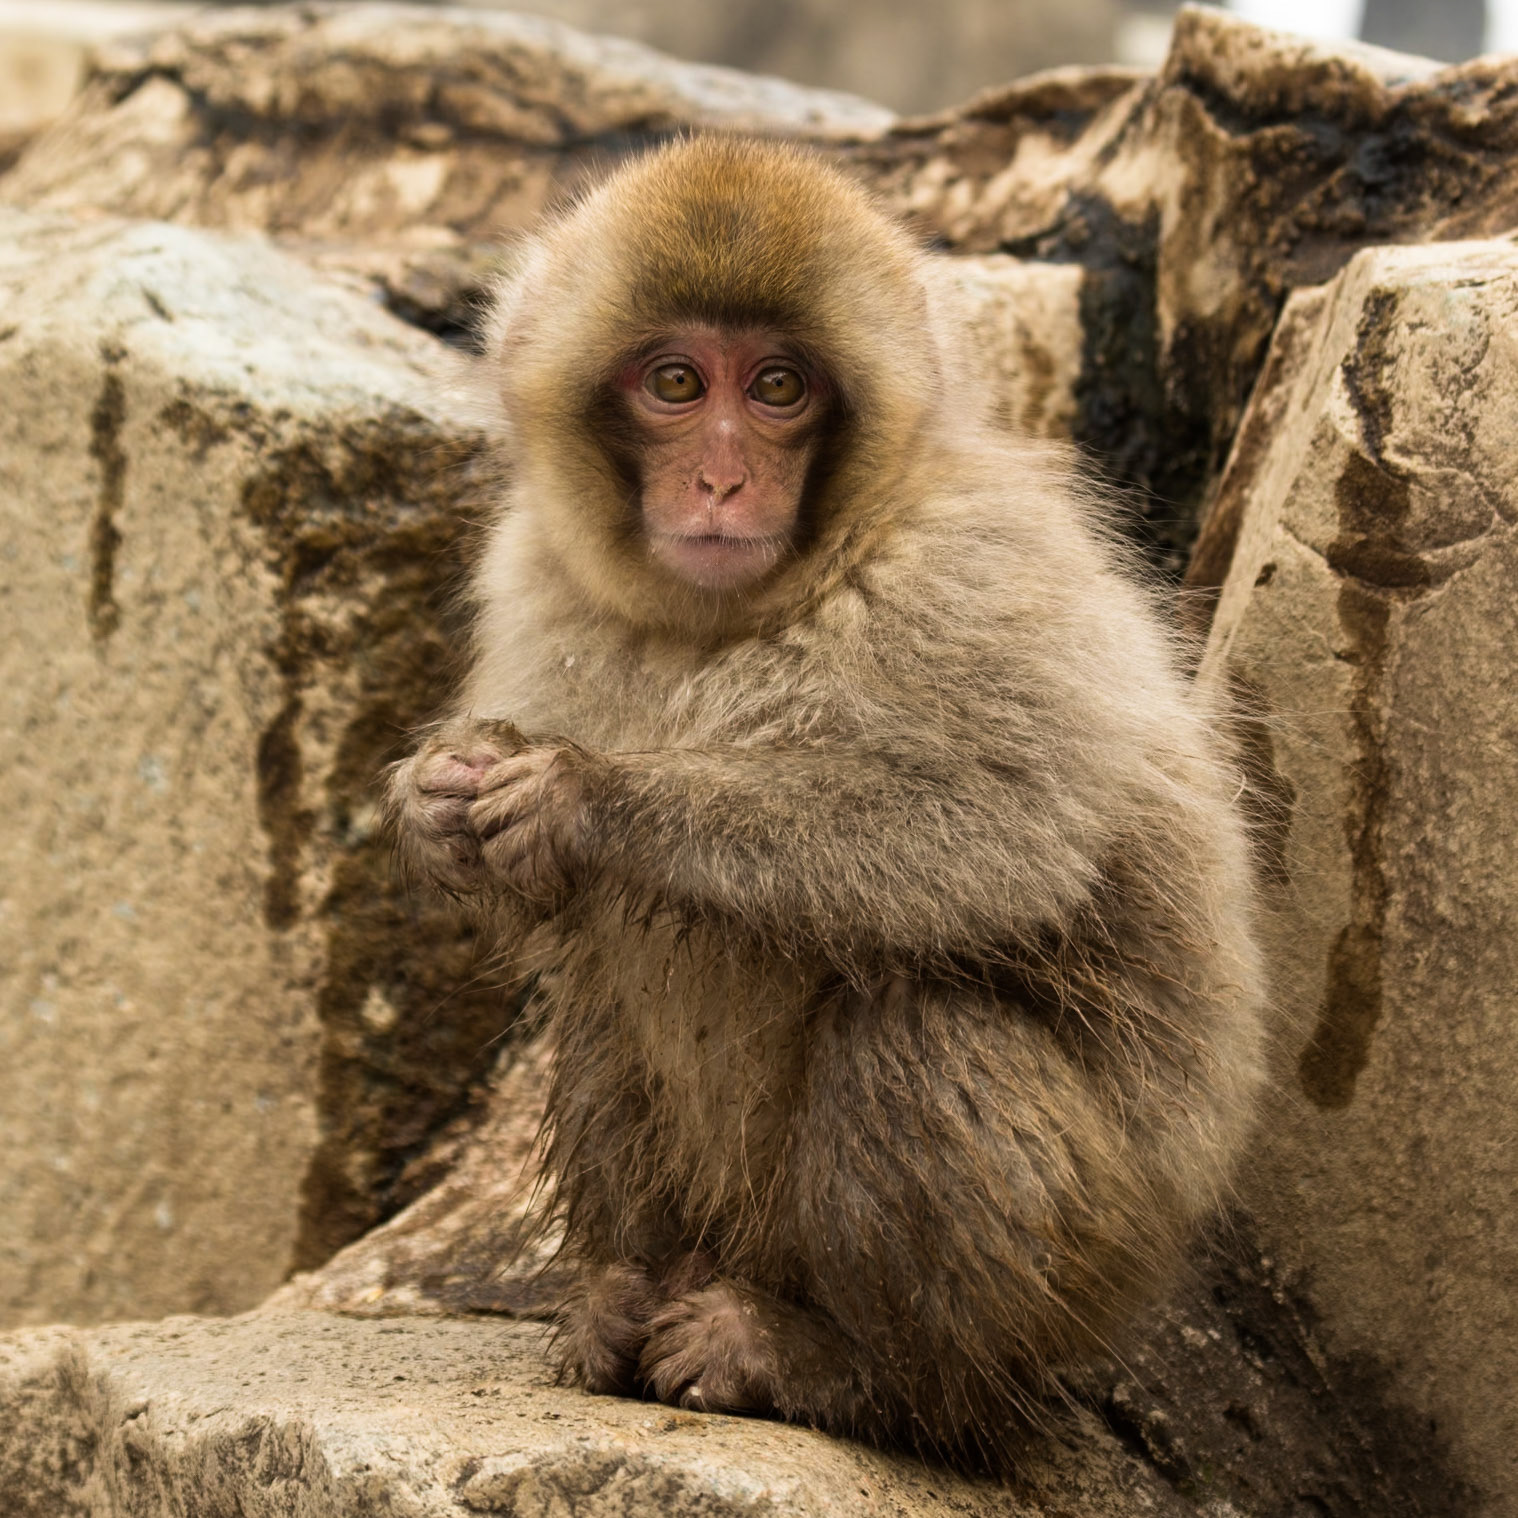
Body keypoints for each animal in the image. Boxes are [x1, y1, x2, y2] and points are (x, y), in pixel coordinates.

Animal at [386, 136, 1265, 1469]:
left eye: (781, 387)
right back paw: (628, 1291)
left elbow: (1006, 834)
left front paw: (587, 797)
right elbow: (547, 907)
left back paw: (856, 1374)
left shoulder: (973, 567)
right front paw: (442, 798)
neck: (745, 613)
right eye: (678, 382)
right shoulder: (531, 572)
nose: (722, 476)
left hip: (1085, 1270)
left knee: (916, 1032)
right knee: (604, 994)